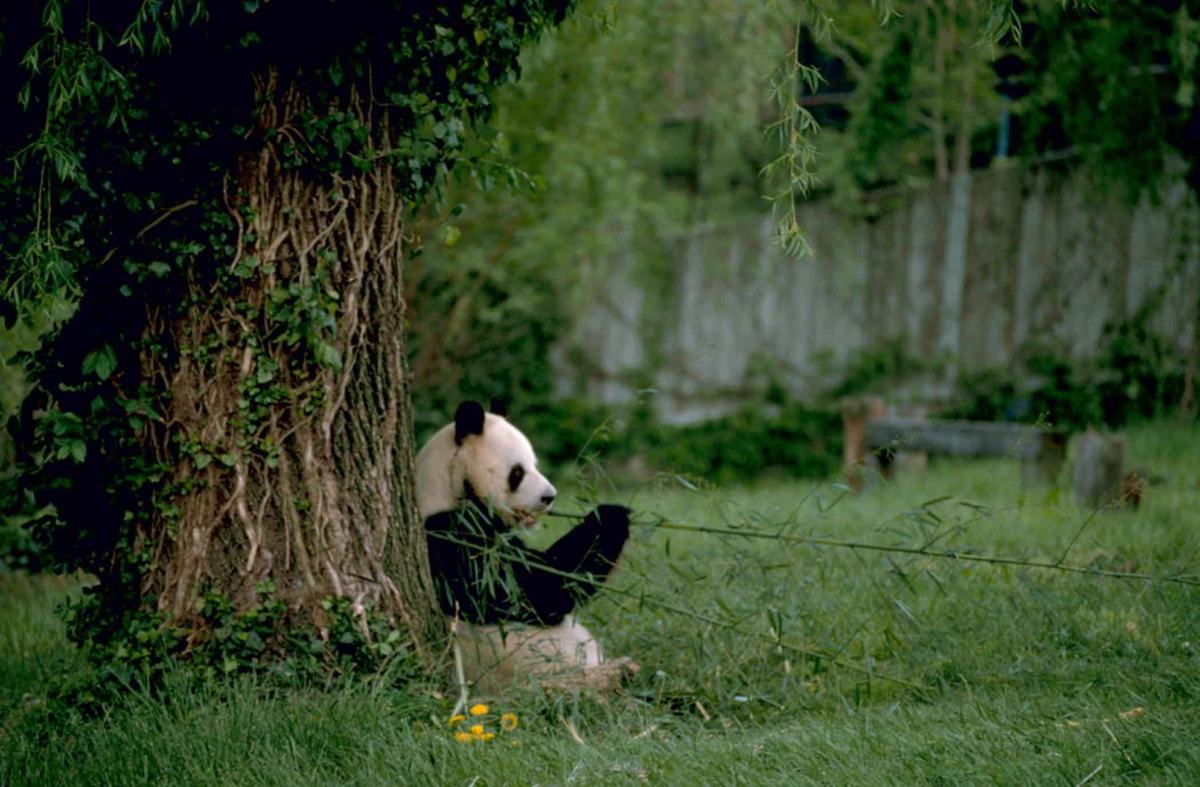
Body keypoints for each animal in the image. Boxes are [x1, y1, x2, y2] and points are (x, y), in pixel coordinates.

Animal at [416, 399, 639, 693]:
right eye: (518, 472)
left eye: (535, 464)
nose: (549, 497)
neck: (443, 486)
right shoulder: (451, 537)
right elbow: (538, 590)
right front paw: (610, 516)